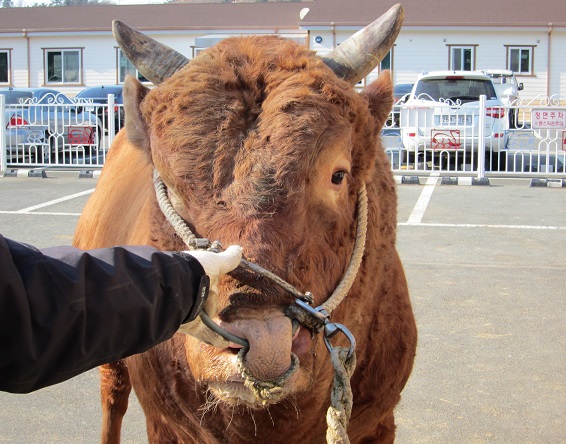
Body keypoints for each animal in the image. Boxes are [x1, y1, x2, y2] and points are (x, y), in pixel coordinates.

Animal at [74, 4, 418, 444]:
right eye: (167, 183)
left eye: (338, 175)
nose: (260, 339)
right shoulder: (164, 424)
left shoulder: (379, 422)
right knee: (112, 400)